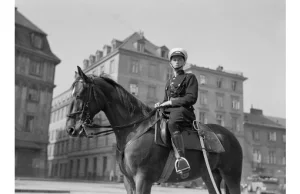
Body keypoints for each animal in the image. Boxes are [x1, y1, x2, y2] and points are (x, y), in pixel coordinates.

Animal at [67, 66, 243, 193]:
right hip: (209, 176)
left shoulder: (143, 180)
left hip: (231, 176)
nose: (70, 128)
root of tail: (229, 136)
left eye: (80, 94)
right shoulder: (128, 181)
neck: (134, 130)